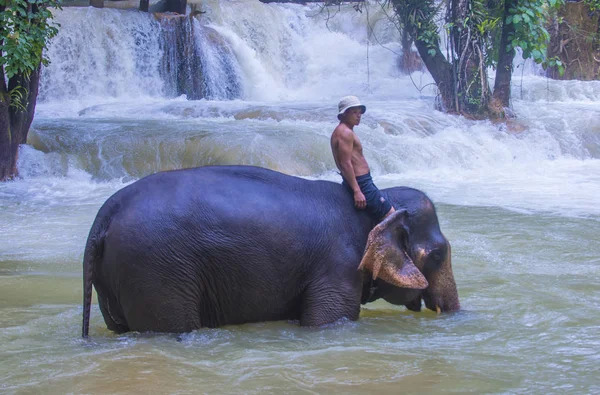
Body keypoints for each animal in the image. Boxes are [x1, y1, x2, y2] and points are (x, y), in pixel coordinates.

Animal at [82, 165, 460, 338]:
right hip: (157, 270)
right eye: (438, 254)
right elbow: (325, 321)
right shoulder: (339, 265)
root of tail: (105, 213)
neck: (379, 202)